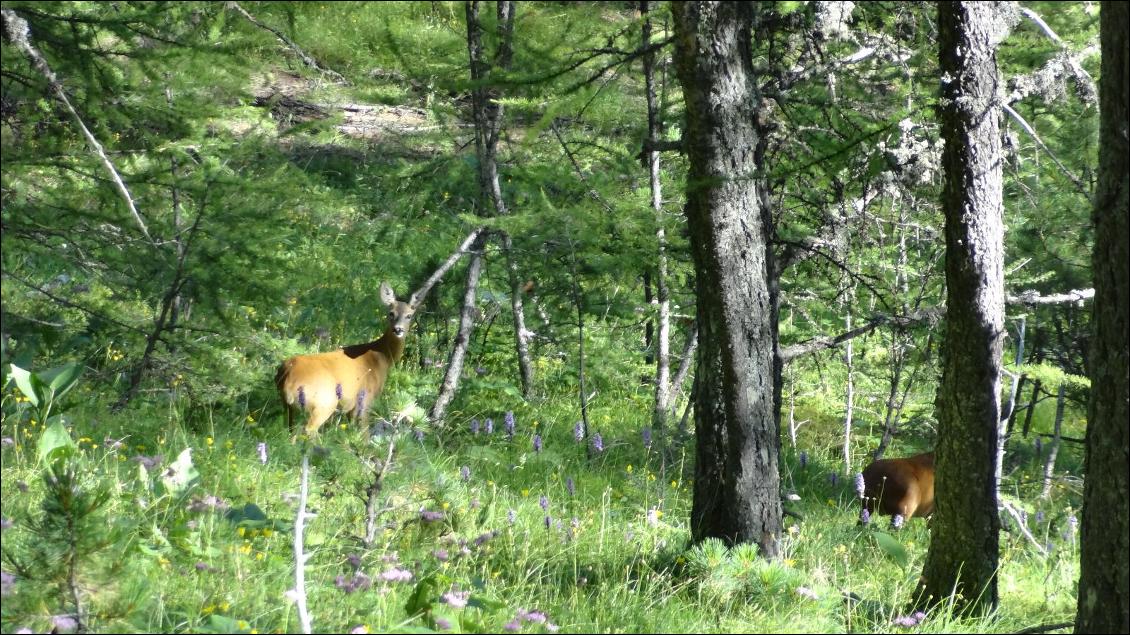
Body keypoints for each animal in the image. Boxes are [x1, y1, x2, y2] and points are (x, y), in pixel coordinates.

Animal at [275, 279, 418, 438]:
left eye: (409, 315)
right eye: (391, 313)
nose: (398, 329)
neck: (381, 356)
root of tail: (287, 376)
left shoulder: (351, 408)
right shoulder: (365, 400)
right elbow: (364, 434)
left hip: (290, 408)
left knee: (291, 432)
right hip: (324, 402)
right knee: (308, 430)